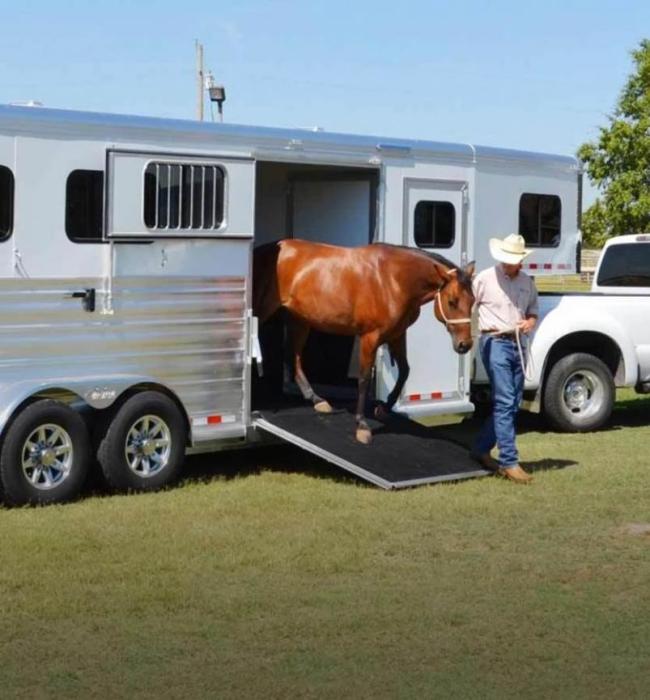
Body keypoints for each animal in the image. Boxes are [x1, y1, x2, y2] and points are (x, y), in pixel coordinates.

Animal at [251, 241, 474, 442]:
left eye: (472, 301)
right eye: (452, 301)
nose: (465, 345)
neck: (393, 280)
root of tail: (262, 250)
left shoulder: (397, 334)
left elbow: (404, 370)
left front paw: (384, 407)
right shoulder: (370, 337)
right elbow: (364, 378)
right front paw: (362, 426)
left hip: (300, 320)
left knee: (294, 357)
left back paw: (317, 399)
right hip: (264, 313)